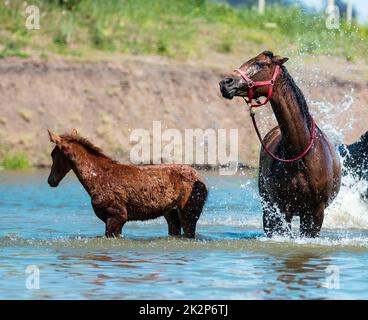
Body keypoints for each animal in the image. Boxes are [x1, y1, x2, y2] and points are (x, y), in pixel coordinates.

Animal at [46, 129, 207, 238]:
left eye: (53, 154)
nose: (50, 180)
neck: (94, 181)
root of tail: (202, 180)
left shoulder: (118, 215)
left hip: (190, 211)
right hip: (171, 213)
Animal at [218, 51, 342, 238]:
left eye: (259, 63)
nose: (225, 83)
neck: (300, 154)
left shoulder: (315, 212)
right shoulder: (282, 209)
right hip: (268, 207)